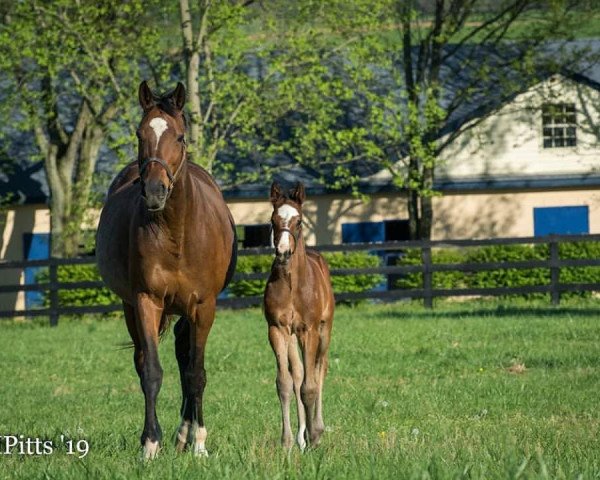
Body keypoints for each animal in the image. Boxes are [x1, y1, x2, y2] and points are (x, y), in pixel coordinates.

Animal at [264, 182, 336, 448]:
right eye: (273, 220)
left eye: (300, 221)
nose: (283, 252)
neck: (293, 285)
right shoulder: (277, 329)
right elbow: (285, 383)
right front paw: (287, 441)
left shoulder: (310, 330)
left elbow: (310, 386)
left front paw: (314, 436)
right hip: (293, 336)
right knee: (298, 374)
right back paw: (300, 436)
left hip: (324, 331)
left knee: (319, 369)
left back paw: (315, 430)